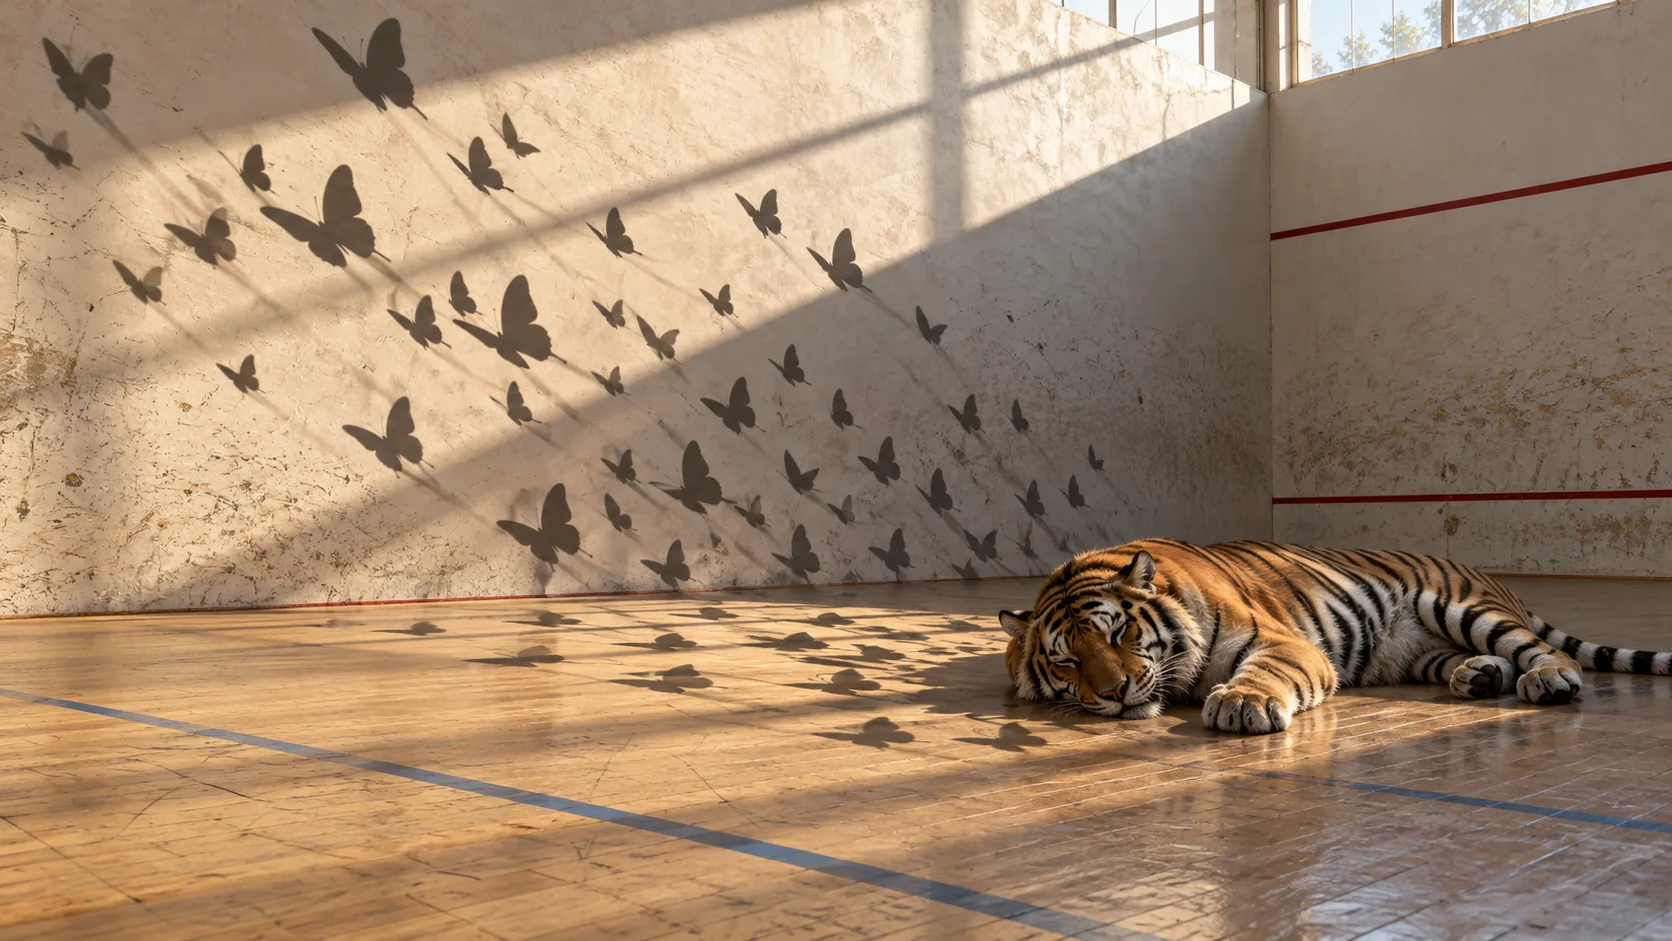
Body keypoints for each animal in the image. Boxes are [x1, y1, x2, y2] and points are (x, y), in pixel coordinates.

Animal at [998, 538, 1672, 734]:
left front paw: (1242, 704)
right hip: (1423, 653)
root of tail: (1489, 577)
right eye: (1067, 663)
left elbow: (1265, 674)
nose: (1114, 693)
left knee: (1542, 650)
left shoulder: (1281, 642)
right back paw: (1478, 677)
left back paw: (1549, 679)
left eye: (1119, 631)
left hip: (1463, 609)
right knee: (1476, 661)